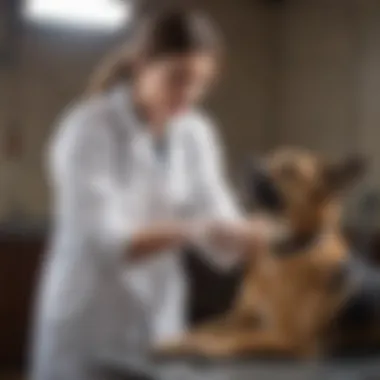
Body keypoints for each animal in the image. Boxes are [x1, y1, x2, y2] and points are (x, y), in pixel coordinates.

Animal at [154, 148, 380, 360]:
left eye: (289, 170)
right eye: (272, 156)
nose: (251, 162)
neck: (282, 251)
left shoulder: (285, 337)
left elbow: (227, 340)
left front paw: (188, 346)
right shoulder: (239, 318)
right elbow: (203, 327)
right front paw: (177, 339)